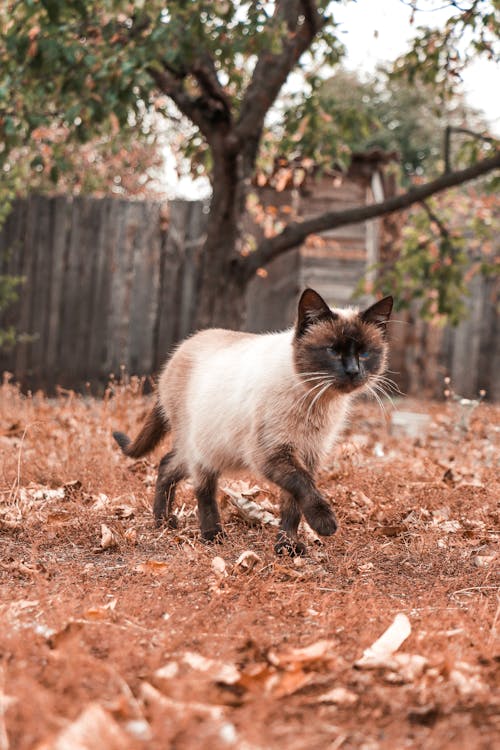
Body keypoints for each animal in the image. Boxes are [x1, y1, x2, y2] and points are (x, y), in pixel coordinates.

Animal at [115, 288, 392, 560]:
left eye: (365, 353)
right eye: (333, 351)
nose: (353, 371)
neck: (317, 399)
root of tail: (178, 352)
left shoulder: (308, 453)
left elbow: (292, 506)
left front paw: (287, 548)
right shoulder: (273, 453)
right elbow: (303, 487)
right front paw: (324, 524)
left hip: (207, 449)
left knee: (166, 464)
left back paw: (164, 521)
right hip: (204, 449)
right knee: (203, 488)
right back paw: (211, 535)